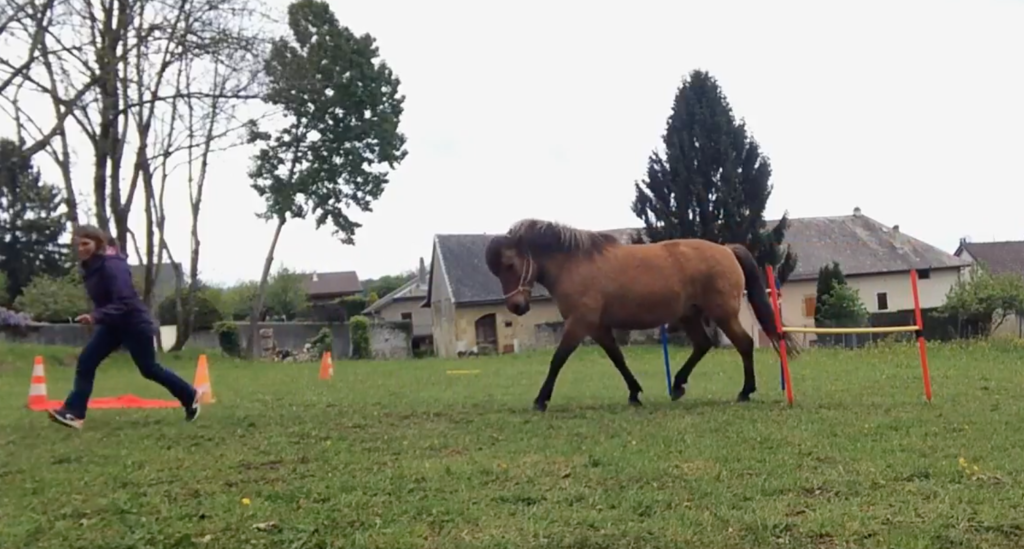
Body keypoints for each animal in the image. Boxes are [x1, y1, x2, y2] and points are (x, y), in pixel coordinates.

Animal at [485, 219, 798, 411]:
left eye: (510, 264)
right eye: (497, 271)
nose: (516, 306)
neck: (574, 263)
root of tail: (726, 250)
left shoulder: (580, 323)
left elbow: (558, 359)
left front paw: (541, 399)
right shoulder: (598, 327)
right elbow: (618, 359)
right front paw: (634, 393)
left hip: (723, 314)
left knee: (744, 344)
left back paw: (745, 391)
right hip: (689, 315)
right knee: (703, 344)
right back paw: (678, 386)